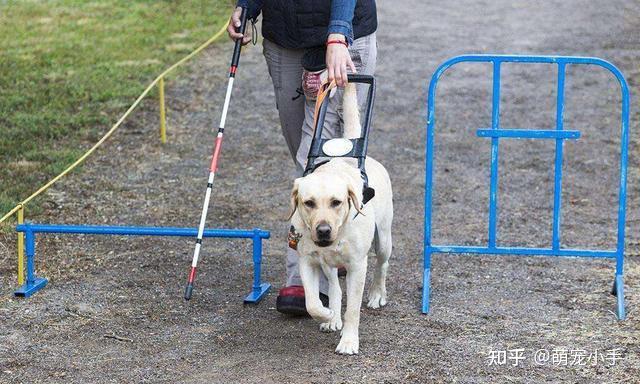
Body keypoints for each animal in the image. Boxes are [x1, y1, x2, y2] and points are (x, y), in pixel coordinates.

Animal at [288, 83, 390, 354]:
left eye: (337, 202)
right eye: (308, 203)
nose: (323, 231)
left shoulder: (357, 266)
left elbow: (353, 309)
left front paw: (349, 341)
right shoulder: (307, 261)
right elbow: (312, 303)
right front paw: (326, 315)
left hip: (384, 239)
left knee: (382, 265)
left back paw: (377, 294)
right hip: (327, 263)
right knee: (334, 285)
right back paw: (332, 316)